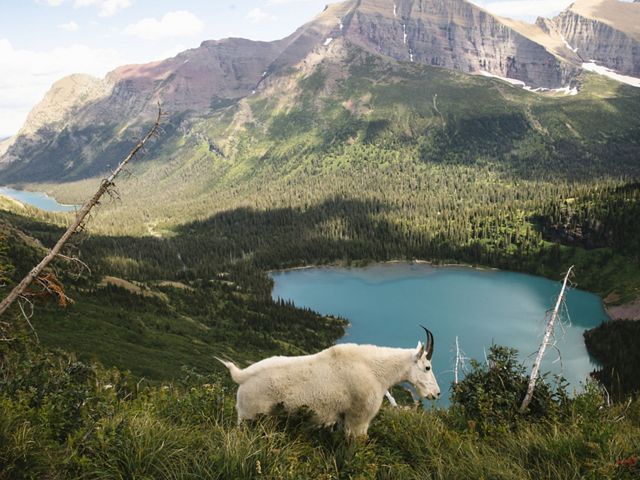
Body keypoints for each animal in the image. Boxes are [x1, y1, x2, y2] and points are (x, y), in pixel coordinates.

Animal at [217, 327, 440, 437]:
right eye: (427, 367)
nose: (436, 394)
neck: (374, 370)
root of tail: (241, 376)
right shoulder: (359, 420)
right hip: (250, 417)